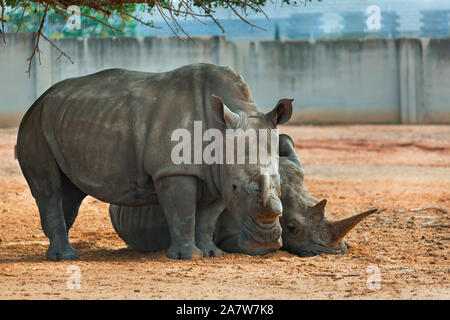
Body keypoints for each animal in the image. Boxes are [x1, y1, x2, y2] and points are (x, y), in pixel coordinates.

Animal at [16, 63, 292, 262]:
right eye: (236, 188)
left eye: (280, 183)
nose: (265, 242)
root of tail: (39, 99)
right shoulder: (173, 171)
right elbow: (183, 212)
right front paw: (188, 257)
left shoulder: (218, 174)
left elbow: (207, 218)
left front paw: (212, 254)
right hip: (35, 125)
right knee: (49, 188)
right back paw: (64, 257)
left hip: (62, 121)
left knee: (71, 191)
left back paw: (59, 248)